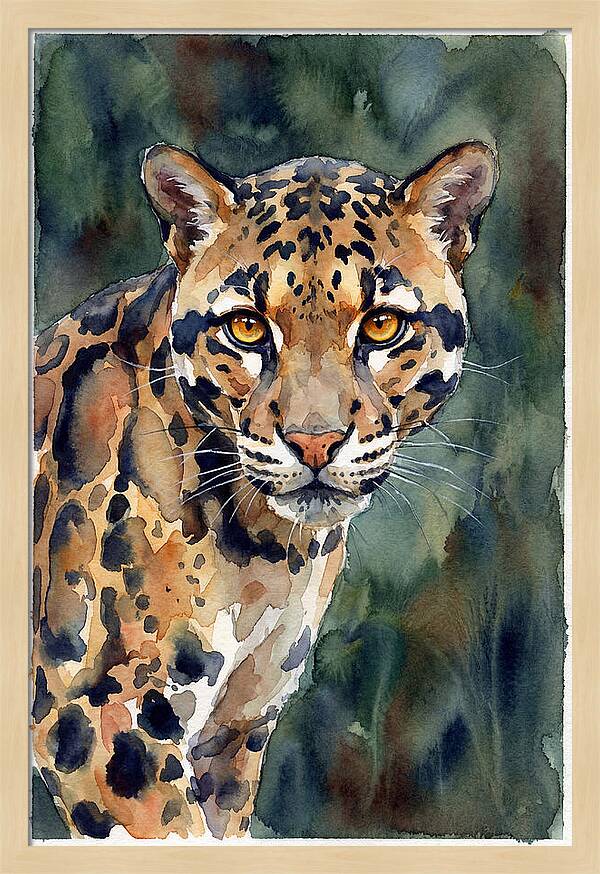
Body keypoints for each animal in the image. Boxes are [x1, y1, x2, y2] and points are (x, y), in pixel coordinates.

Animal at [32, 140, 498, 840]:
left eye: (383, 326)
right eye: (247, 328)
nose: (315, 442)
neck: (266, 552)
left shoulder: (232, 734)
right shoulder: (98, 720)